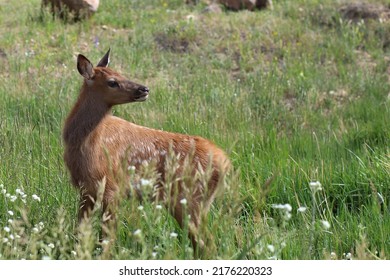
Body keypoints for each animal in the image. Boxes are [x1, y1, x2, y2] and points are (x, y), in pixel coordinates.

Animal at [62, 49, 230, 250]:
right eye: (112, 81)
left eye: (121, 74)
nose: (144, 89)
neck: (86, 144)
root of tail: (225, 161)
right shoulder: (86, 189)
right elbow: (80, 232)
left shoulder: (111, 186)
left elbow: (107, 237)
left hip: (189, 199)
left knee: (207, 243)